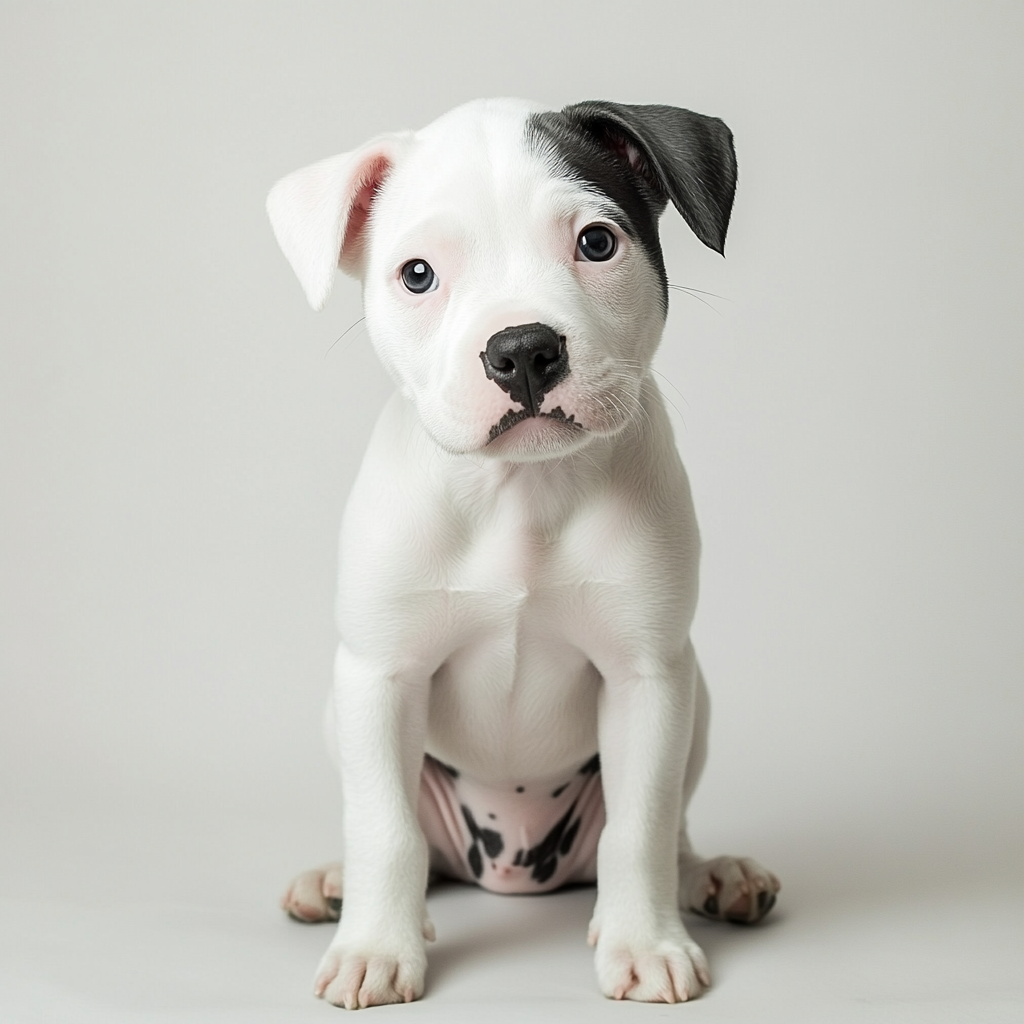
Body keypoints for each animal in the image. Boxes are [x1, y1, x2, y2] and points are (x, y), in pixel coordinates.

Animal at [268, 96, 778, 1007]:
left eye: (597, 243)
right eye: (418, 274)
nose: (523, 350)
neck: (519, 495)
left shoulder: (647, 679)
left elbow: (642, 828)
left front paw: (645, 943)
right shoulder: (379, 676)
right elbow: (384, 829)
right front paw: (376, 947)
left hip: (697, 701)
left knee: (670, 831)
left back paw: (714, 876)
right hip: (344, 709)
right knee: (414, 842)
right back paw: (333, 883)